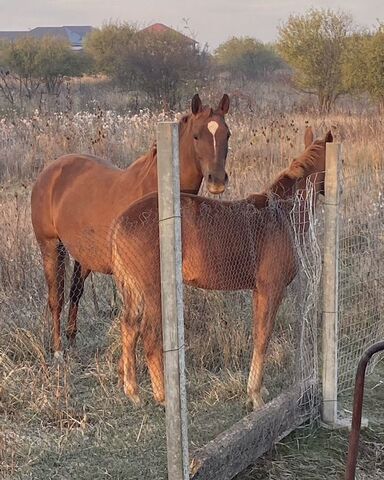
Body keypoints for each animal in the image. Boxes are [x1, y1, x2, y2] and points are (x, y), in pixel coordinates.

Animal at [31, 94, 230, 358]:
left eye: (227, 134)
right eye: (197, 135)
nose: (217, 181)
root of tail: (51, 171)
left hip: (84, 255)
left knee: (75, 293)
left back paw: (72, 341)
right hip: (51, 247)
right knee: (57, 298)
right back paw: (58, 351)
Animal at [111, 127, 332, 408]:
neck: (282, 214)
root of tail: (119, 223)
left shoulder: (258, 291)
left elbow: (257, 333)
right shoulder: (272, 289)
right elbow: (264, 336)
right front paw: (255, 395)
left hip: (134, 291)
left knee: (129, 328)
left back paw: (133, 392)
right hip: (154, 292)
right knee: (149, 338)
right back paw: (162, 396)